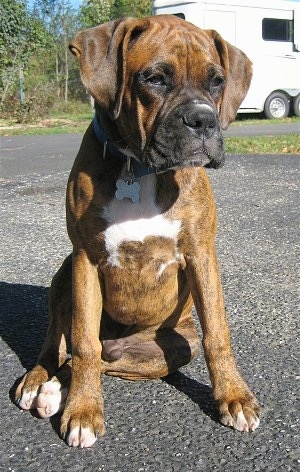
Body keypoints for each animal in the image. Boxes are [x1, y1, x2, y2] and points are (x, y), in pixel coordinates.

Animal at [15, 14, 260, 448]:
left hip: (173, 347)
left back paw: (56, 388)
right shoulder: (85, 257)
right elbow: (82, 342)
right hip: (64, 272)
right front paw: (83, 411)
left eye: (217, 81)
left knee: (107, 357)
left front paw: (234, 397)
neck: (139, 168)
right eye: (154, 79)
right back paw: (39, 383)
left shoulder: (201, 253)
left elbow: (218, 334)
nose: (203, 119)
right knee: (67, 346)